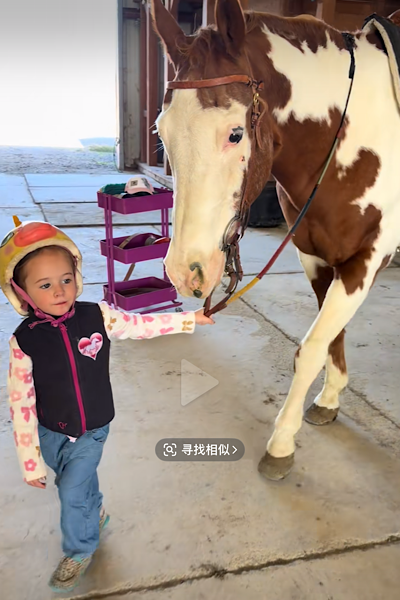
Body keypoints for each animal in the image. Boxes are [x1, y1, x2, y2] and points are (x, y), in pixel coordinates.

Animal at [150, 0, 400, 481]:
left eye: (235, 133)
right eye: (161, 132)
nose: (184, 271)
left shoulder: (367, 258)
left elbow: (311, 347)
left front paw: (282, 442)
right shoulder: (317, 256)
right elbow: (330, 335)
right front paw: (330, 399)